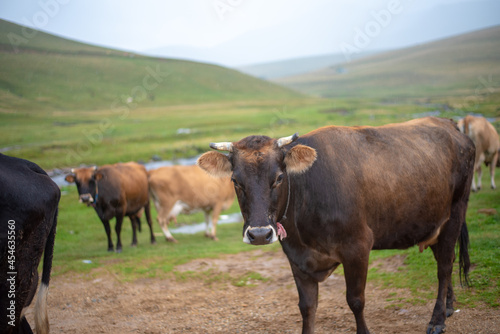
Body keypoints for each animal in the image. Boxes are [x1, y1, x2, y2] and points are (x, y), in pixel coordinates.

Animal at [197, 117, 474, 334]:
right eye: (235, 181)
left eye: (279, 177)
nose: (259, 234)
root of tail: (449, 124)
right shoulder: (297, 258)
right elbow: (307, 307)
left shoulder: (358, 247)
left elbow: (356, 300)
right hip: (433, 221)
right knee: (445, 259)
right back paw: (449, 306)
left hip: (456, 210)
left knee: (444, 267)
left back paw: (437, 319)